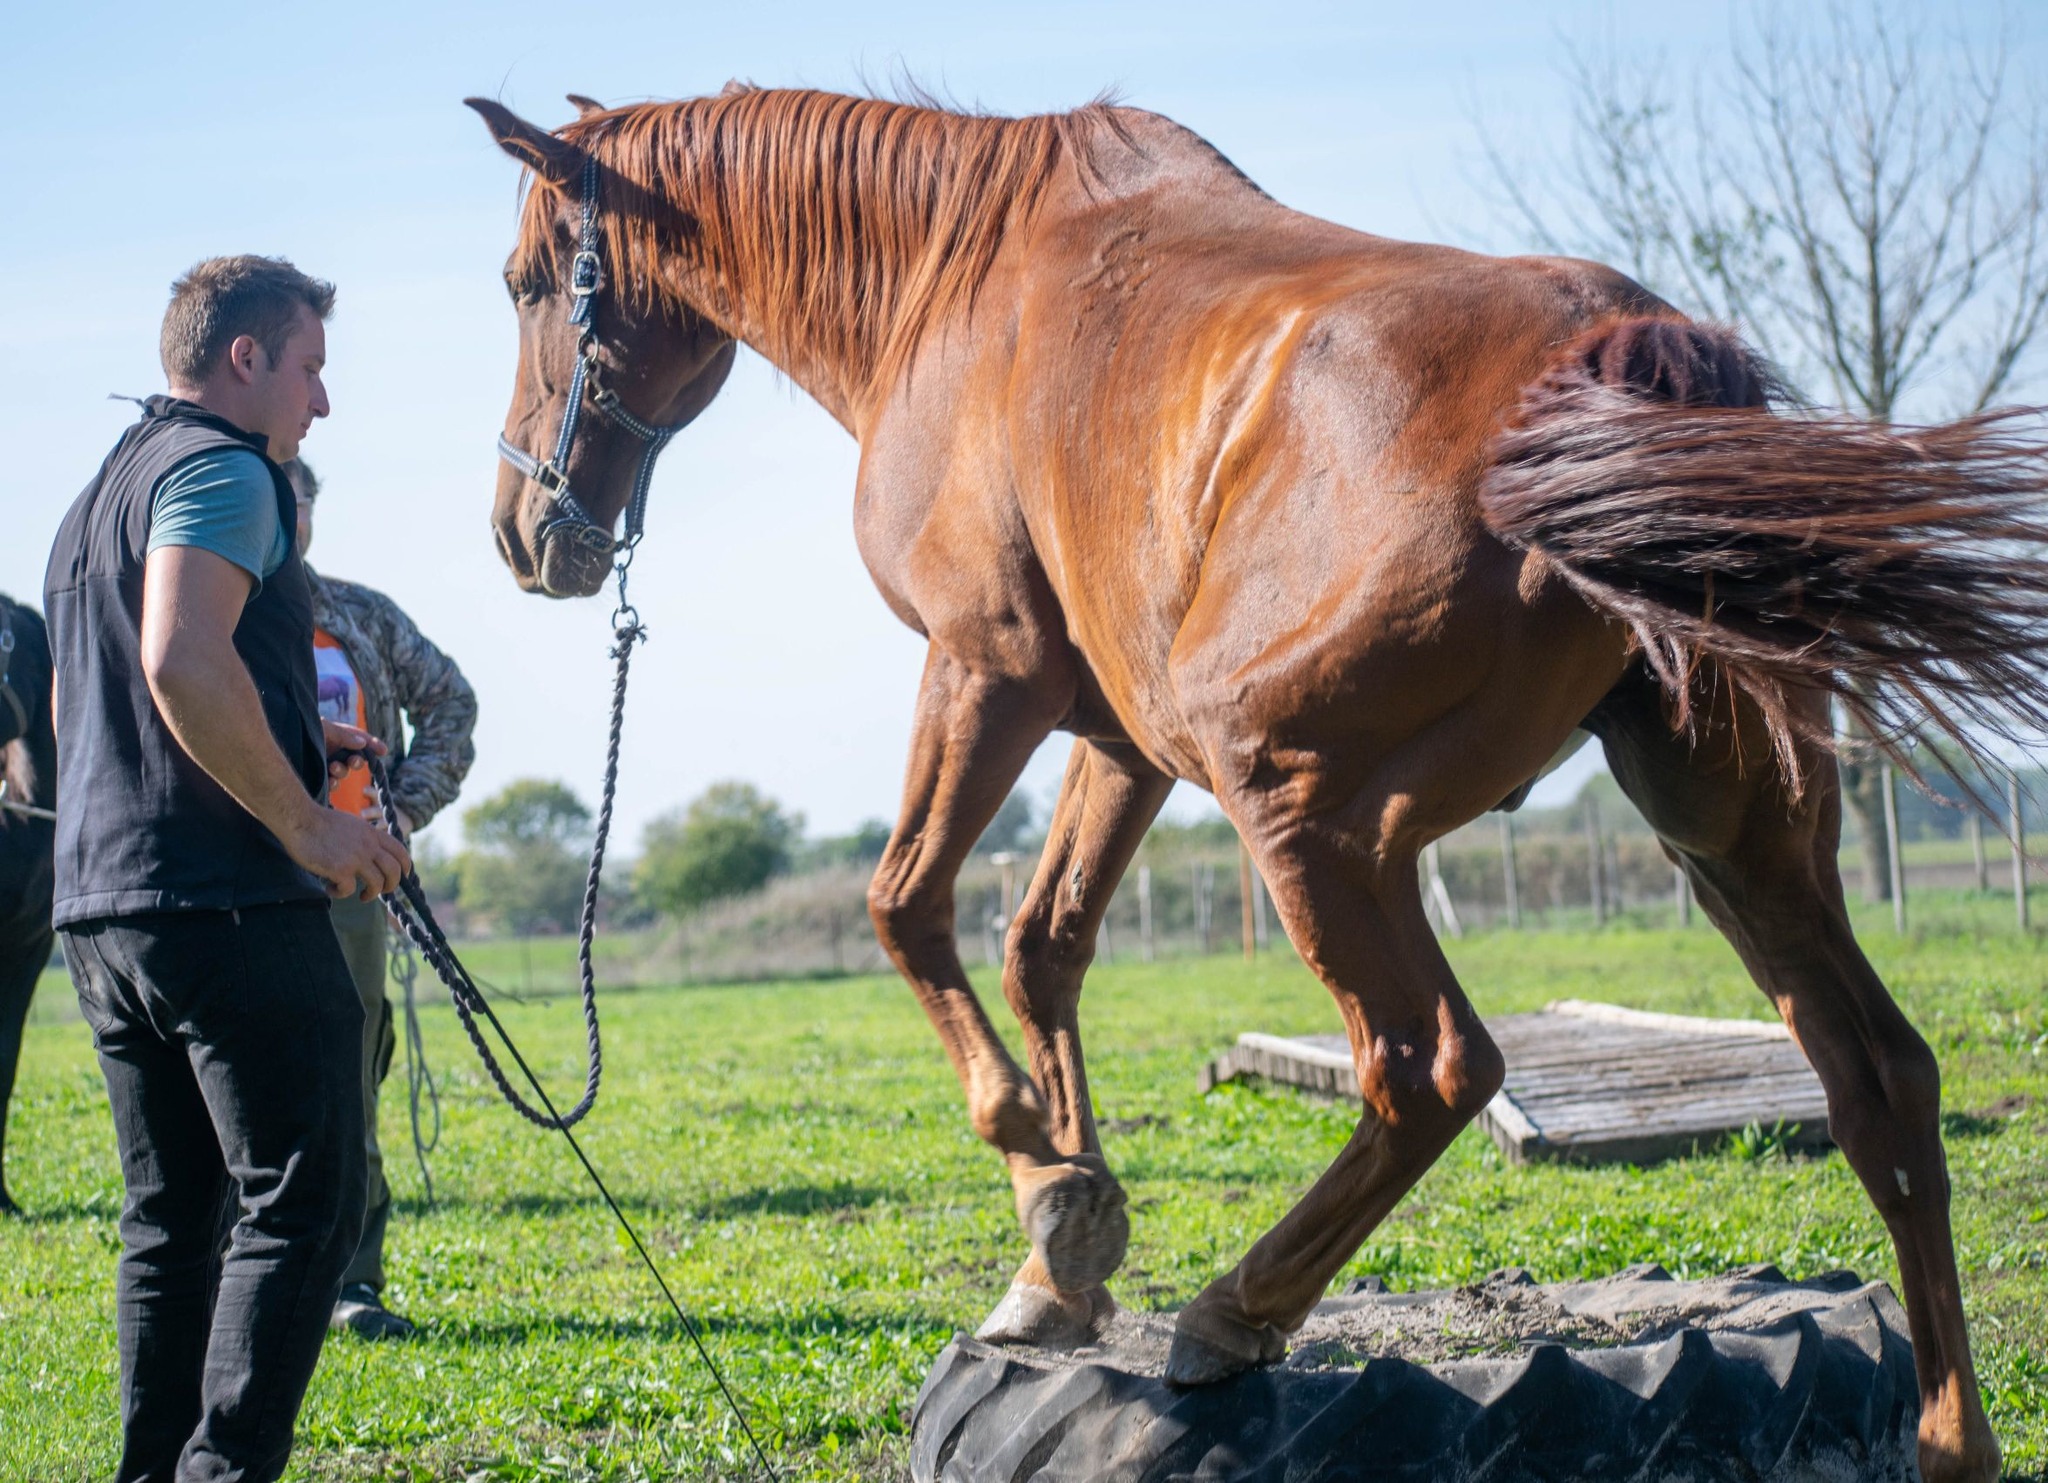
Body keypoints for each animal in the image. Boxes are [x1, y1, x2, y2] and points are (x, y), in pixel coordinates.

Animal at [464, 87, 2048, 1474]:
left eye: (530, 280)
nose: (520, 534)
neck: (953, 279)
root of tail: (1623, 360)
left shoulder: (986, 672)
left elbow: (906, 909)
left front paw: (1055, 1193)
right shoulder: (1114, 739)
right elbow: (1044, 945)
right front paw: (1060, 1268)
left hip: (1307, 812)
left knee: (1429, 1065)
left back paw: (1235, 1314)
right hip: (1732, 835)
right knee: (1878, 1079)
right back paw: (1949, 1438)